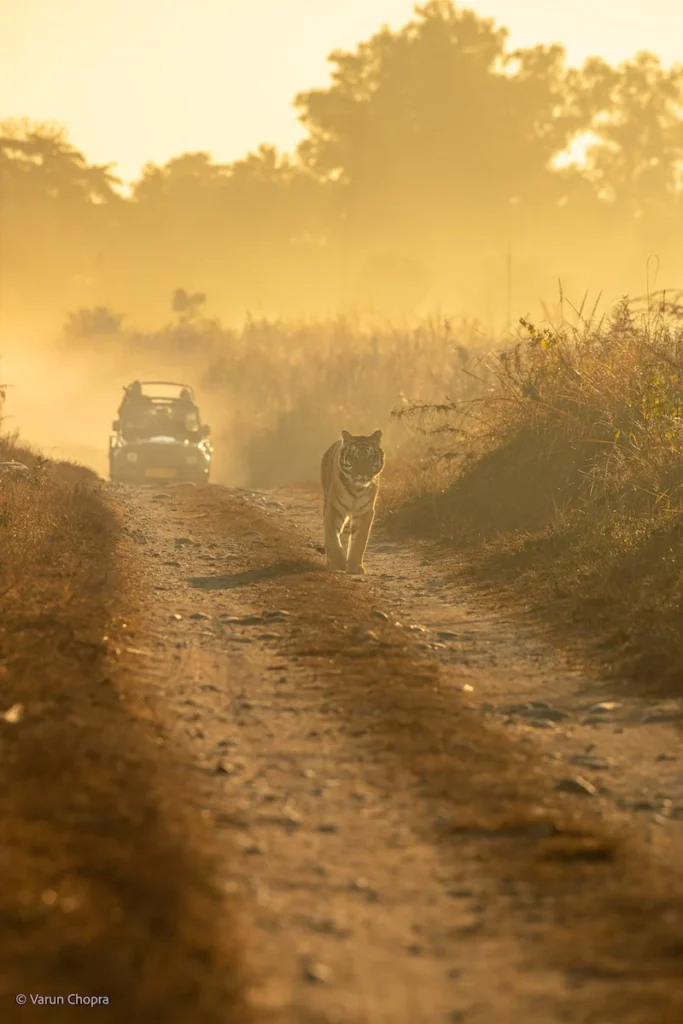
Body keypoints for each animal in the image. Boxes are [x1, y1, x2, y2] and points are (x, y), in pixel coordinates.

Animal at [320, 429, 385, 575]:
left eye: (370, 457)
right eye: (354, 457)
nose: (362, 474)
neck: (357, 489)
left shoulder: (365, 512)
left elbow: (359, 541)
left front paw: (354, 566)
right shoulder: (334, 508)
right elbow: (332, 537)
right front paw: (340, 562)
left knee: (344, 534)